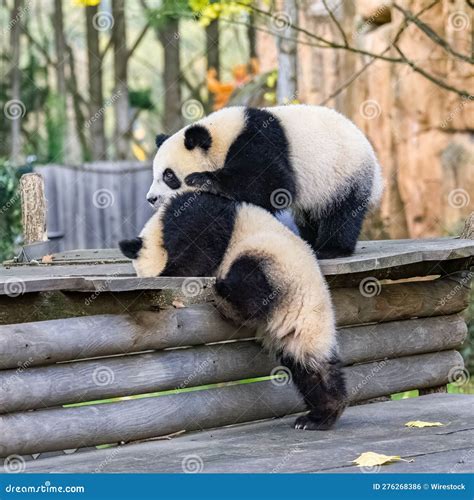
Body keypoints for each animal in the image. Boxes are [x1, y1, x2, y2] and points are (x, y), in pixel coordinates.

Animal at [118, 191, 348, 430]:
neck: (157, 227)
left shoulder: (197, 214)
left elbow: (199, 246)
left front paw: (170, 272)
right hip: (300, 330)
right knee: (311, 369)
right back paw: (321, 415)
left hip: (273, 263)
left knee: (250, 283)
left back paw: (223, 289)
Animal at [146, 102, 384, 258]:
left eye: (168, 176)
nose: (151, 199)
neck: (222, 136)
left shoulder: (258, 140)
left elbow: (273, 183)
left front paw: (203, 180)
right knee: (310, 214)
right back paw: (309, 240)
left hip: (345, 172)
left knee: (342, 212)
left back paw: (331, 248)